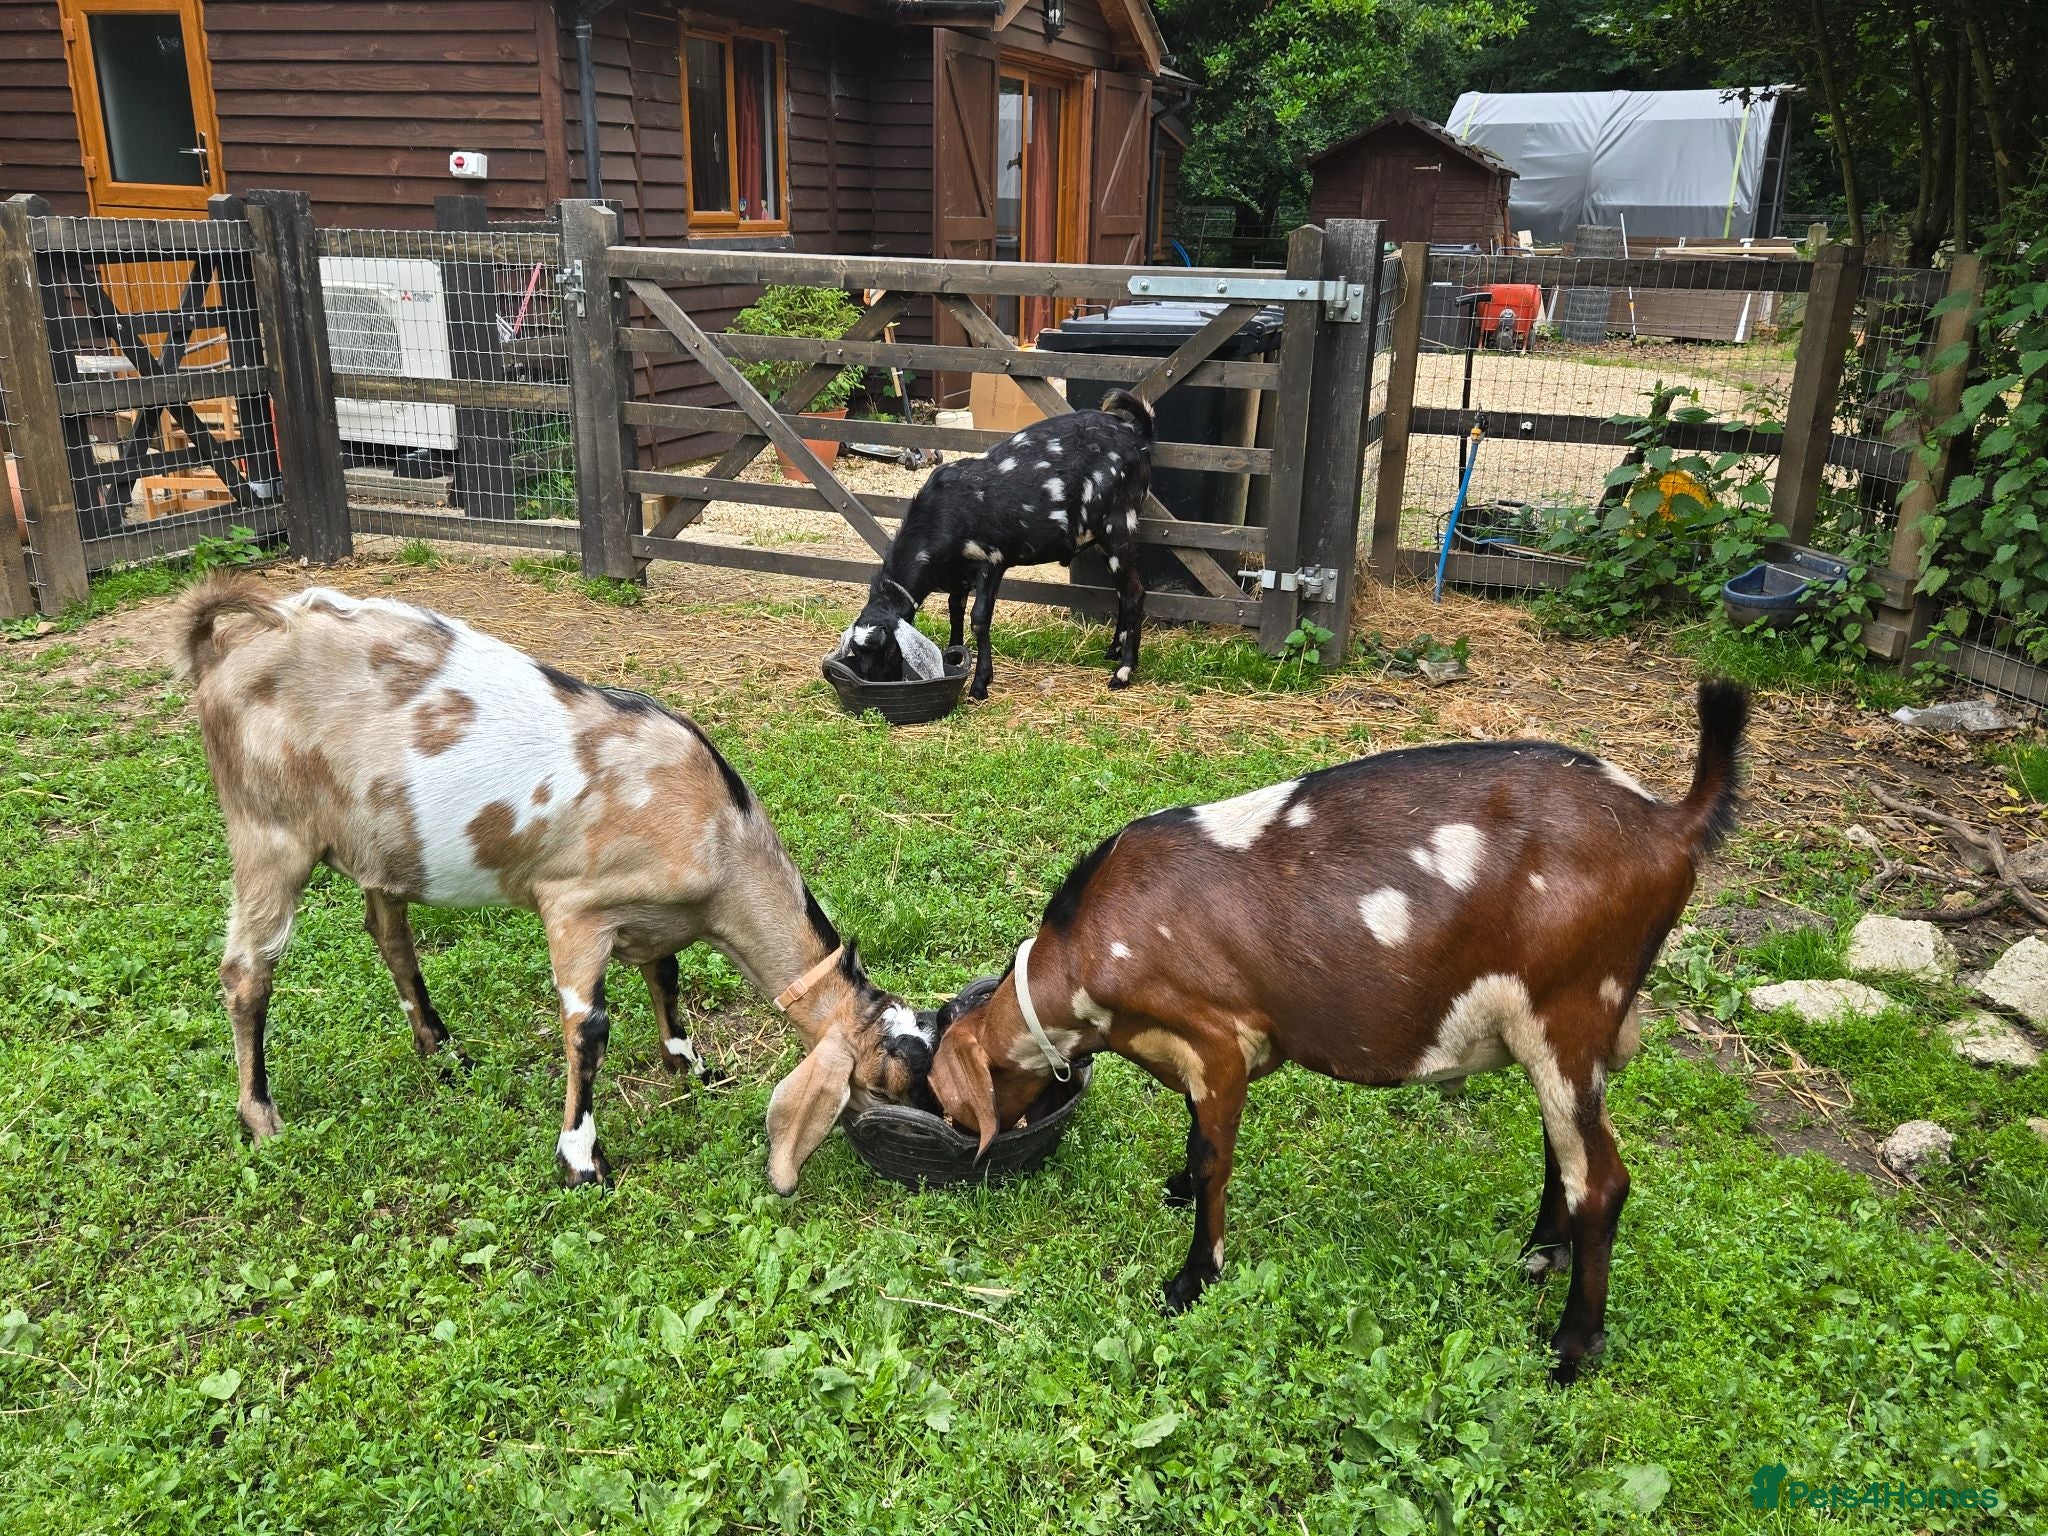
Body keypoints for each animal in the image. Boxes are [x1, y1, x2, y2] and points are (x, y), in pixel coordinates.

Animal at [174, 577, 930, 1193]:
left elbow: (667, 977)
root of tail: (236, 642)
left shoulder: (652, 919)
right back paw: (261, 1117)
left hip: (376, 840)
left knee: (388, 935)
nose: (933, 1140)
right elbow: (588, 1029)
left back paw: (441, 1050)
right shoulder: (575, 907)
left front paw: (692, 1067)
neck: (717, 828)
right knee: (247, 972)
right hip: (268, 832)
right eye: (888, 1078)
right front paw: (582, 1160)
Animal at [841, 390, 1155, 699]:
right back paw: (1114, 650)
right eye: (857, 653)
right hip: (1104, 539)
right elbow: (955, 611)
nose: (875, 685)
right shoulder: (958, 576)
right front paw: (955, 656)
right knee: (1121, 593)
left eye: (891, 652)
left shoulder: (991, 561)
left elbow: (979, 620)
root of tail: (1137, 434)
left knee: (1134, 593)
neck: (942, 513)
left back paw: (1124, 672)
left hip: (1117, 527)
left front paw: (980, 683)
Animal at [926, 681, 1748, 1383]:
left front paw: (1193, 1278)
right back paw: (1539, 1254)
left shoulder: (1219, 1039)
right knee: (1566, 1149)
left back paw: (1571, 1348)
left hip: (1569, 1011)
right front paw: (1176, 1191)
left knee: (1600, 1180)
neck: (1089, 946)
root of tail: (1668, 822)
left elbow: (1213, 1153)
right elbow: (1193, 1135)